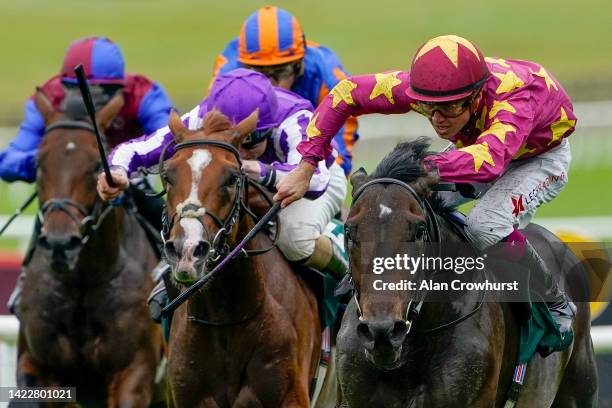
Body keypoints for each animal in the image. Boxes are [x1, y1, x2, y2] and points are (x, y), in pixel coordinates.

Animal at [16, 89, 164, 404]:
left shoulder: (134, 373)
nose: (60, 244)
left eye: (97, 164)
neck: (83, 281)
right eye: (38, 164)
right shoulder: (41, 368)